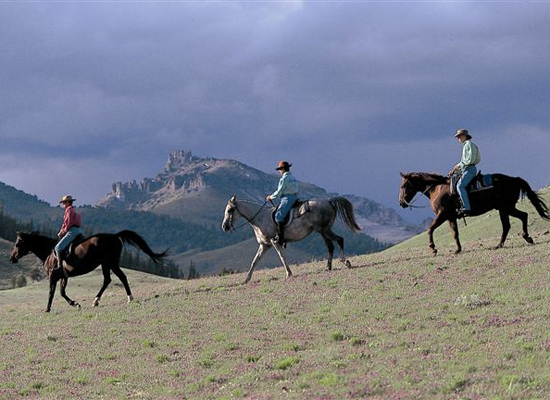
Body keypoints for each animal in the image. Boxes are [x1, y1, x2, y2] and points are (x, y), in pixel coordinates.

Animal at [9, 231, 168, 312]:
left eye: (17, 244)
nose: (12, 258)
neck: (49, 252)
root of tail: (114, 235)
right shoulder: (64, 277)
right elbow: (62, 292)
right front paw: (74, 304)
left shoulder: (53, 277)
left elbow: (51, 293)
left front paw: (47, 309)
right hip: (106, 264)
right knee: (108, 280)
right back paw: (96, 301)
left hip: (110, 263)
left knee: (120, 277)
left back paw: (129, 298)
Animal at [222, 195, 364, 282]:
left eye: (229, 210)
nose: (225, 227)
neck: (260, 218)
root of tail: (329, 201)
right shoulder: (264, 245)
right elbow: (255, 261)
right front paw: (246, 279)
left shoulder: (274, 242)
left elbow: (282, 258)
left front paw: (288, 274)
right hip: (323, 231)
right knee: (331, 246)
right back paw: (328, 267)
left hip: (324, 230)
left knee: (339, 240)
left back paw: (345, 261)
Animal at [402, 171, 550, 253]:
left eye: (404, 185)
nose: (401, 203)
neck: (437, 189)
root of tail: (514, 179)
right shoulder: (450, 217)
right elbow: (455, 233)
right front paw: (457, 249)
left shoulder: (442, 215)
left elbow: (430, 229)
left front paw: (433, 248)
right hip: (505, 208)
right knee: (521, 217)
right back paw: (525, 238)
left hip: (505, 208)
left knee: (509, 224)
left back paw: (501, 244)